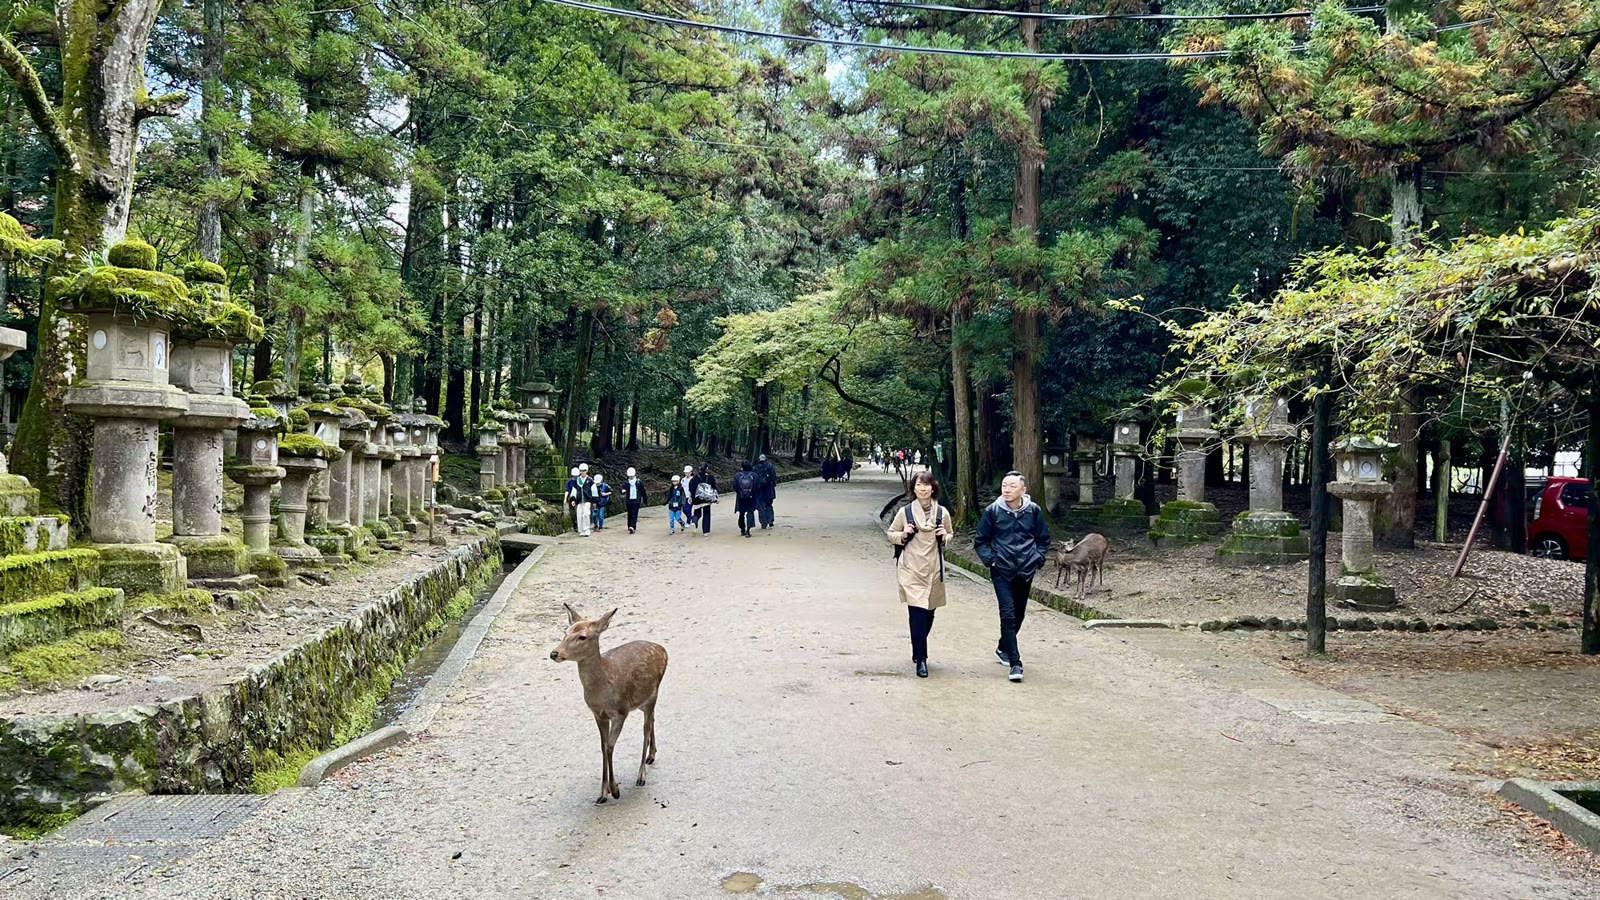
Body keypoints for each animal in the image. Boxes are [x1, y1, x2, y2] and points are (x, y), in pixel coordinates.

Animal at [549, 604, 669, 804]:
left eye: (582, 637)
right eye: (565, 632)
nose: (554, 653)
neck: (602, 692)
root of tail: (663, 649)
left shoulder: (620, 711)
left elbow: (610, 746)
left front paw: (615, 790)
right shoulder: (598, 714)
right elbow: (603, 746)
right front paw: (603, 793)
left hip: (653, 693)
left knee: (645, 728)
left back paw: (641, 776)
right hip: (644, 699)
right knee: (652, 719)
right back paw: (651, 755)